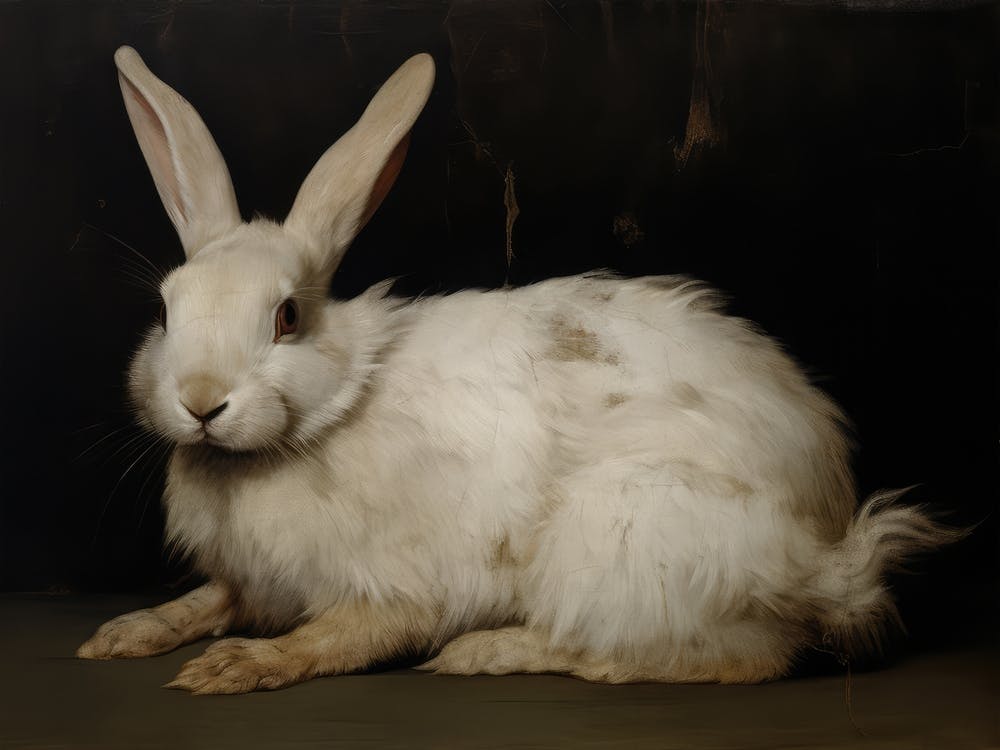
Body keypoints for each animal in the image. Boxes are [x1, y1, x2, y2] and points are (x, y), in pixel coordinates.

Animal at [77, 46, 955, 695]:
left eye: (287, 316)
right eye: (166, 312)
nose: (200, 402)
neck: (333, 410)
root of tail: (827, 557)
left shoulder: (397, 587)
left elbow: (341, 637)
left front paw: (235, 667)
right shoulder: (250, 583)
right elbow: (210, 600)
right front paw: (126, 634)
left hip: (620, 543)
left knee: (724, 658)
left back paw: (491, 652)